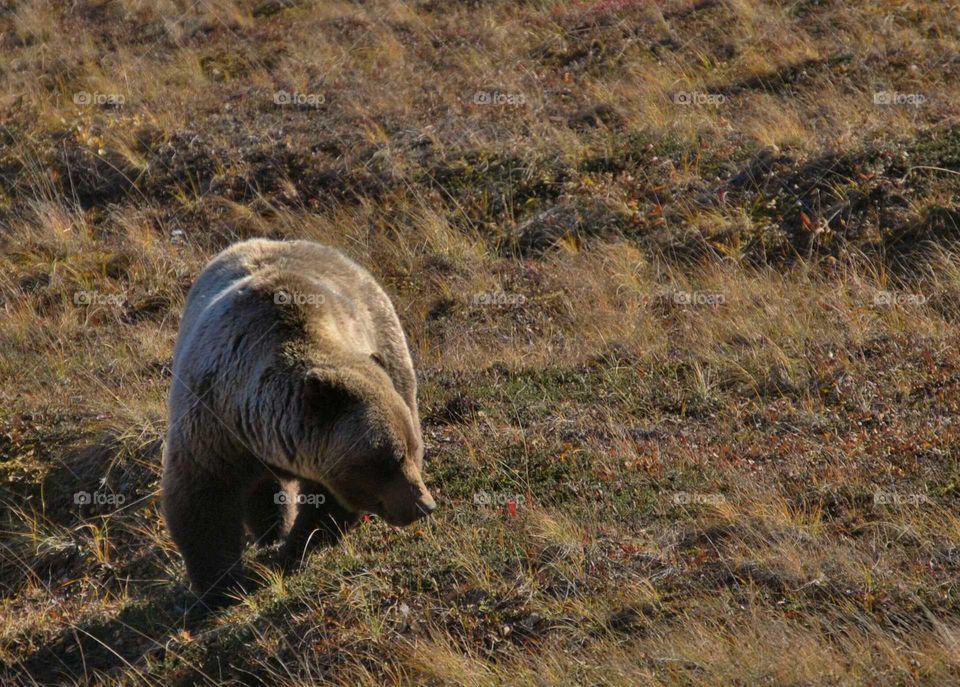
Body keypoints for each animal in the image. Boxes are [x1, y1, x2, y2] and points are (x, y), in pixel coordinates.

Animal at [161, 238, 436, 611]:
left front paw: (296, 547)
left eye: (411, 449)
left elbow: (328, 504)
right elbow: (203, 501)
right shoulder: (215, 427)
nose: (424, 505)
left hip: (390, 349)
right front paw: (220, 589)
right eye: (387, 458)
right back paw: (269, 532)